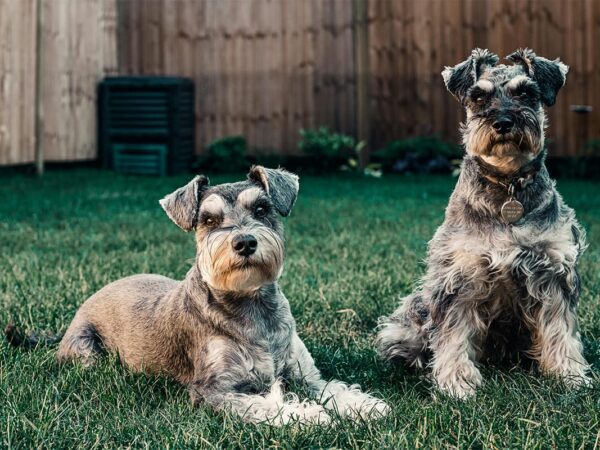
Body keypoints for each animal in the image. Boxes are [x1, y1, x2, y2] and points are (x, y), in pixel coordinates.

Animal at [41, 166, 390, 426]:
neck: (252, 306)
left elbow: (334, 388)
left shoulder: (305, 375)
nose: (244, 242)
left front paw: (365, 406)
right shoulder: (213, 390)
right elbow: (265, 405)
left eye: (261, 209)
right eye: (208, 219)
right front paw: (308, 416)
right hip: (87, 353)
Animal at [378, 49, 588, 400]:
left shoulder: (553, 272)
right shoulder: (460, 276)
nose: (503, 123)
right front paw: (457, 383)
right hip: (413, 312)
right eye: (478, 96)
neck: (507, 185)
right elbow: (453, 334)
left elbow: (560, 329)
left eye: (526, 93)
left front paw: (570, 375)